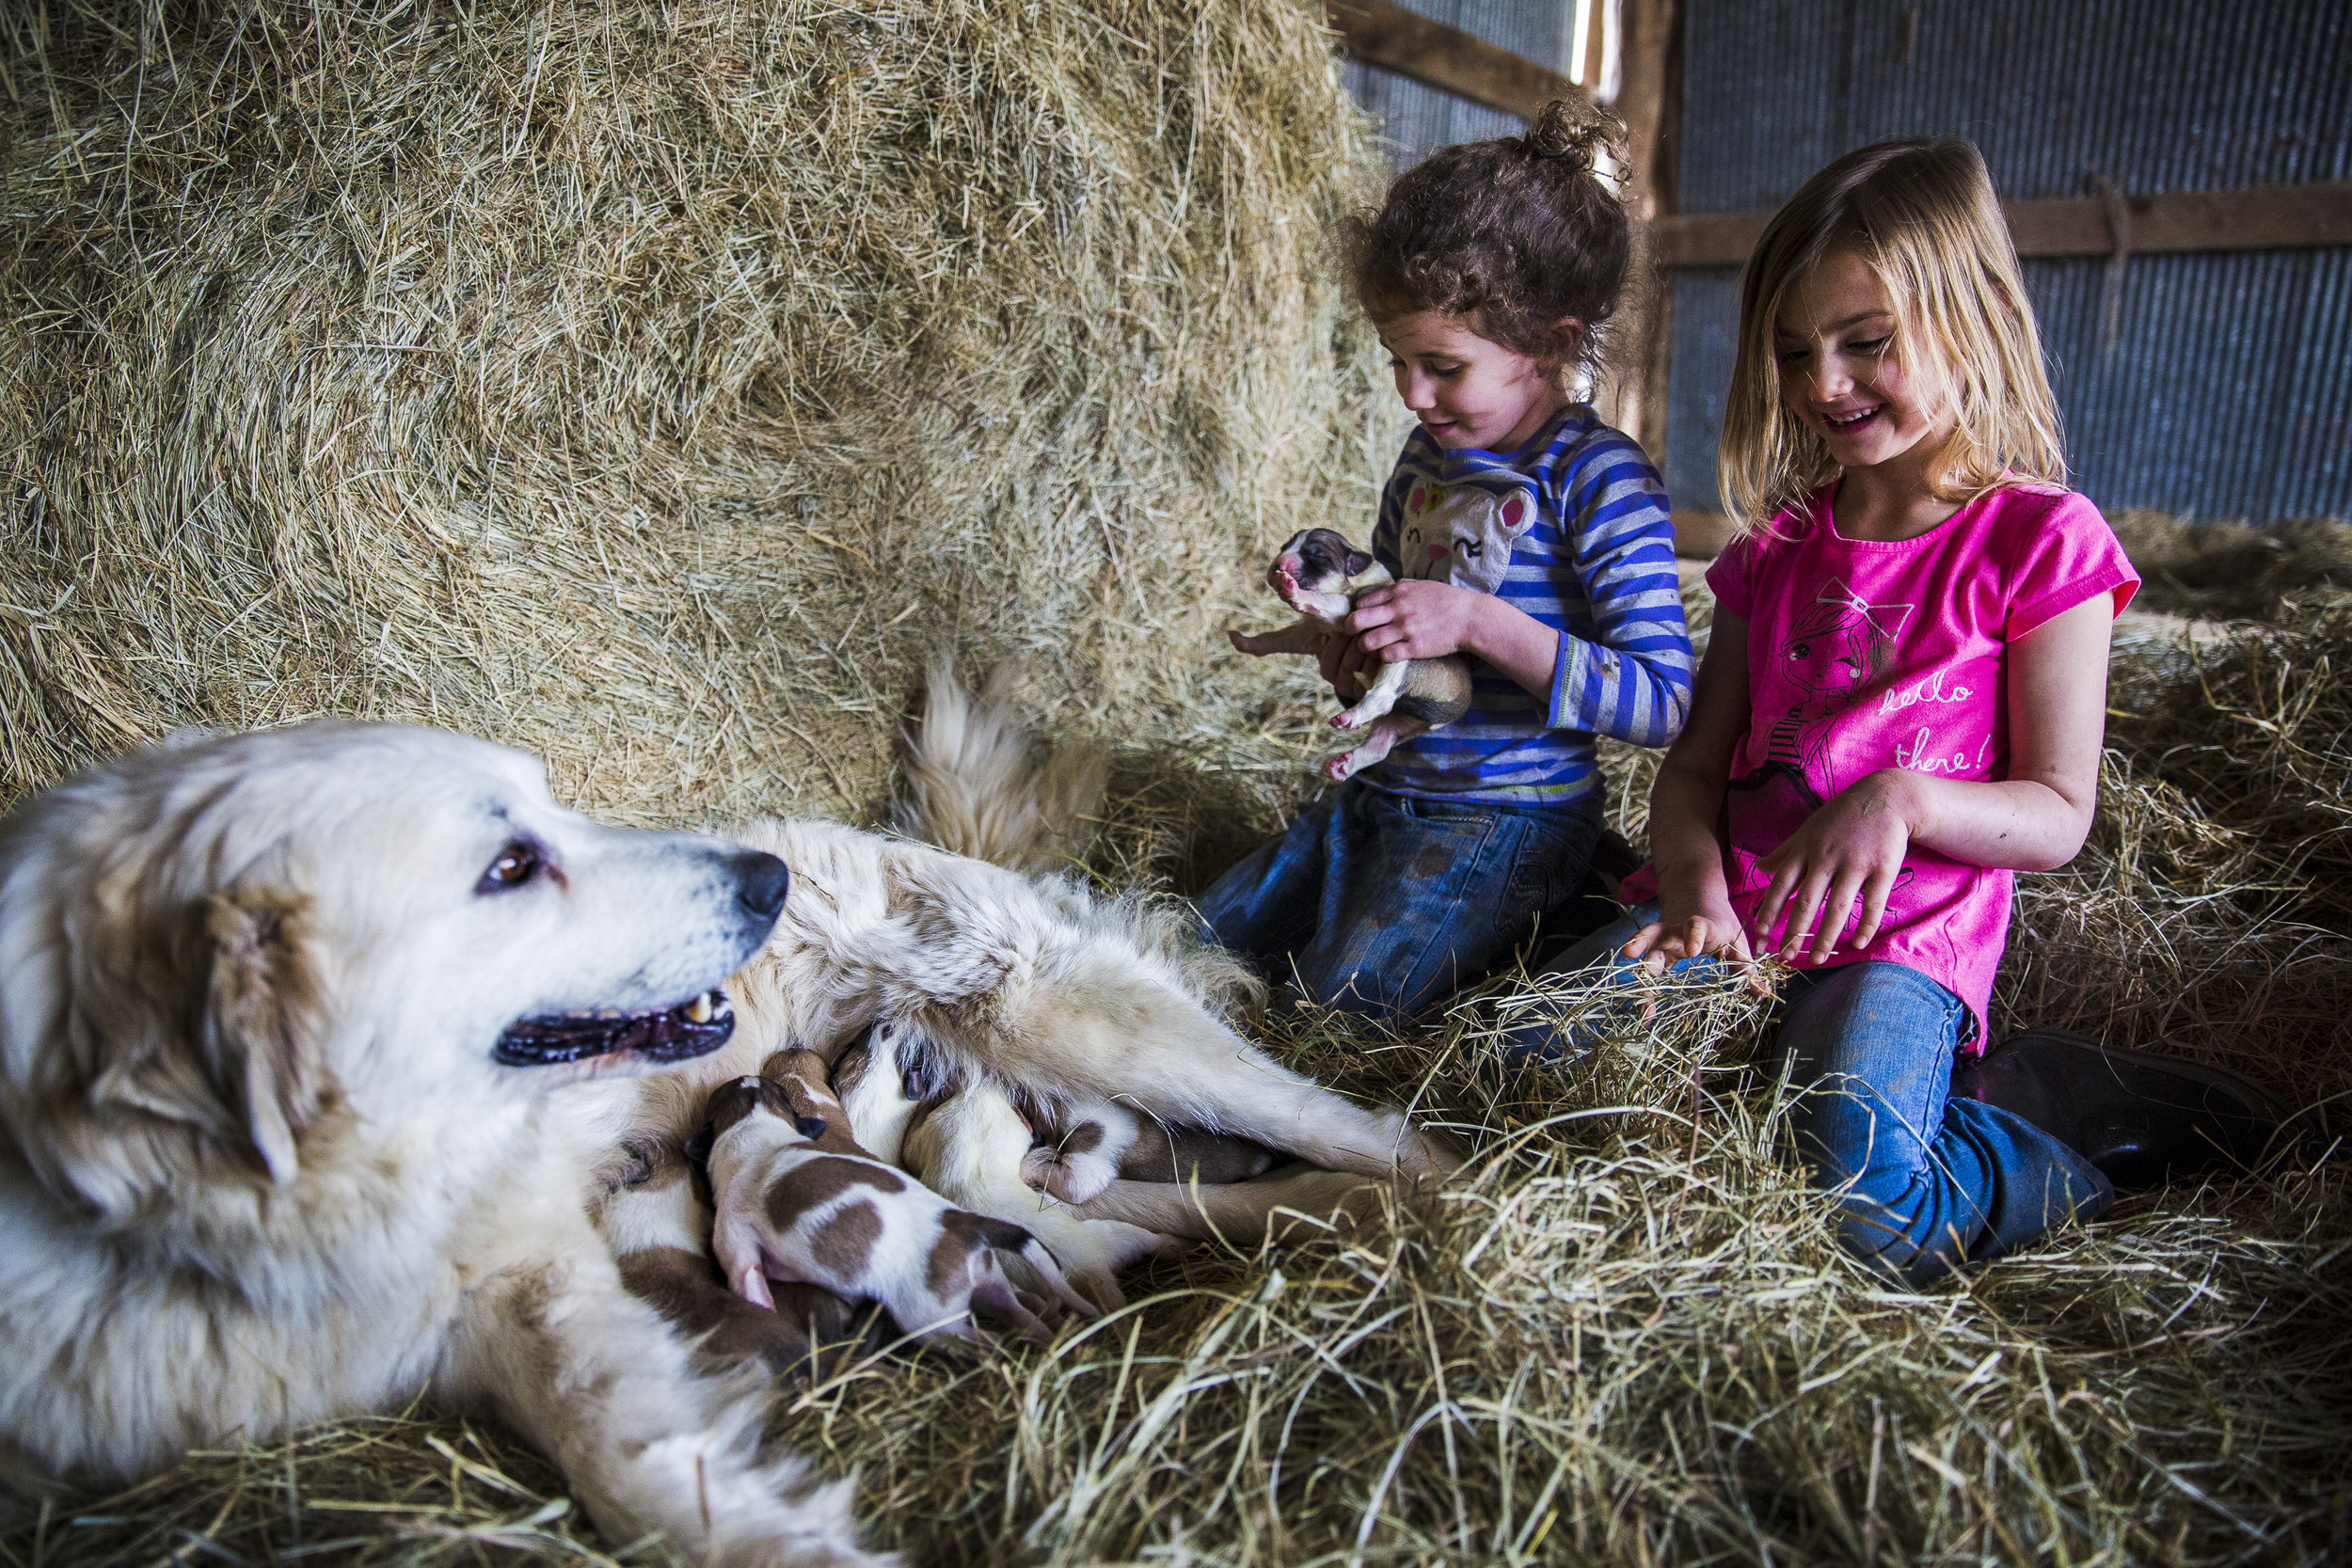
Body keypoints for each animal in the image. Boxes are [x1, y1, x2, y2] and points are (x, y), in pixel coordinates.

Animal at [701, 1071, 1096, 1354]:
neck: (755, 1129)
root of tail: (967, 1227)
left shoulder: (735, 1243)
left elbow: (745, 1278)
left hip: (931, 1320)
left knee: (988, 1341)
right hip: (990, 1283)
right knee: (1027, 1315)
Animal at [1232, 526, 1468, 780]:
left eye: (1318, 558)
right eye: (1283, 547)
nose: (1279, 564)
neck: (1358, 578)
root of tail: (1458, 707)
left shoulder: (1348, 612)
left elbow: (1322, 599)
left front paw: (1290, 587)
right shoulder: (1309, 632)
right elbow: (1275, 638)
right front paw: (1245, 642)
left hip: (1404, 661)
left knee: (1383, 696)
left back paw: (1349, 717)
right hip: (1404, 722)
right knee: (1380, 745)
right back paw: (1343, 766)